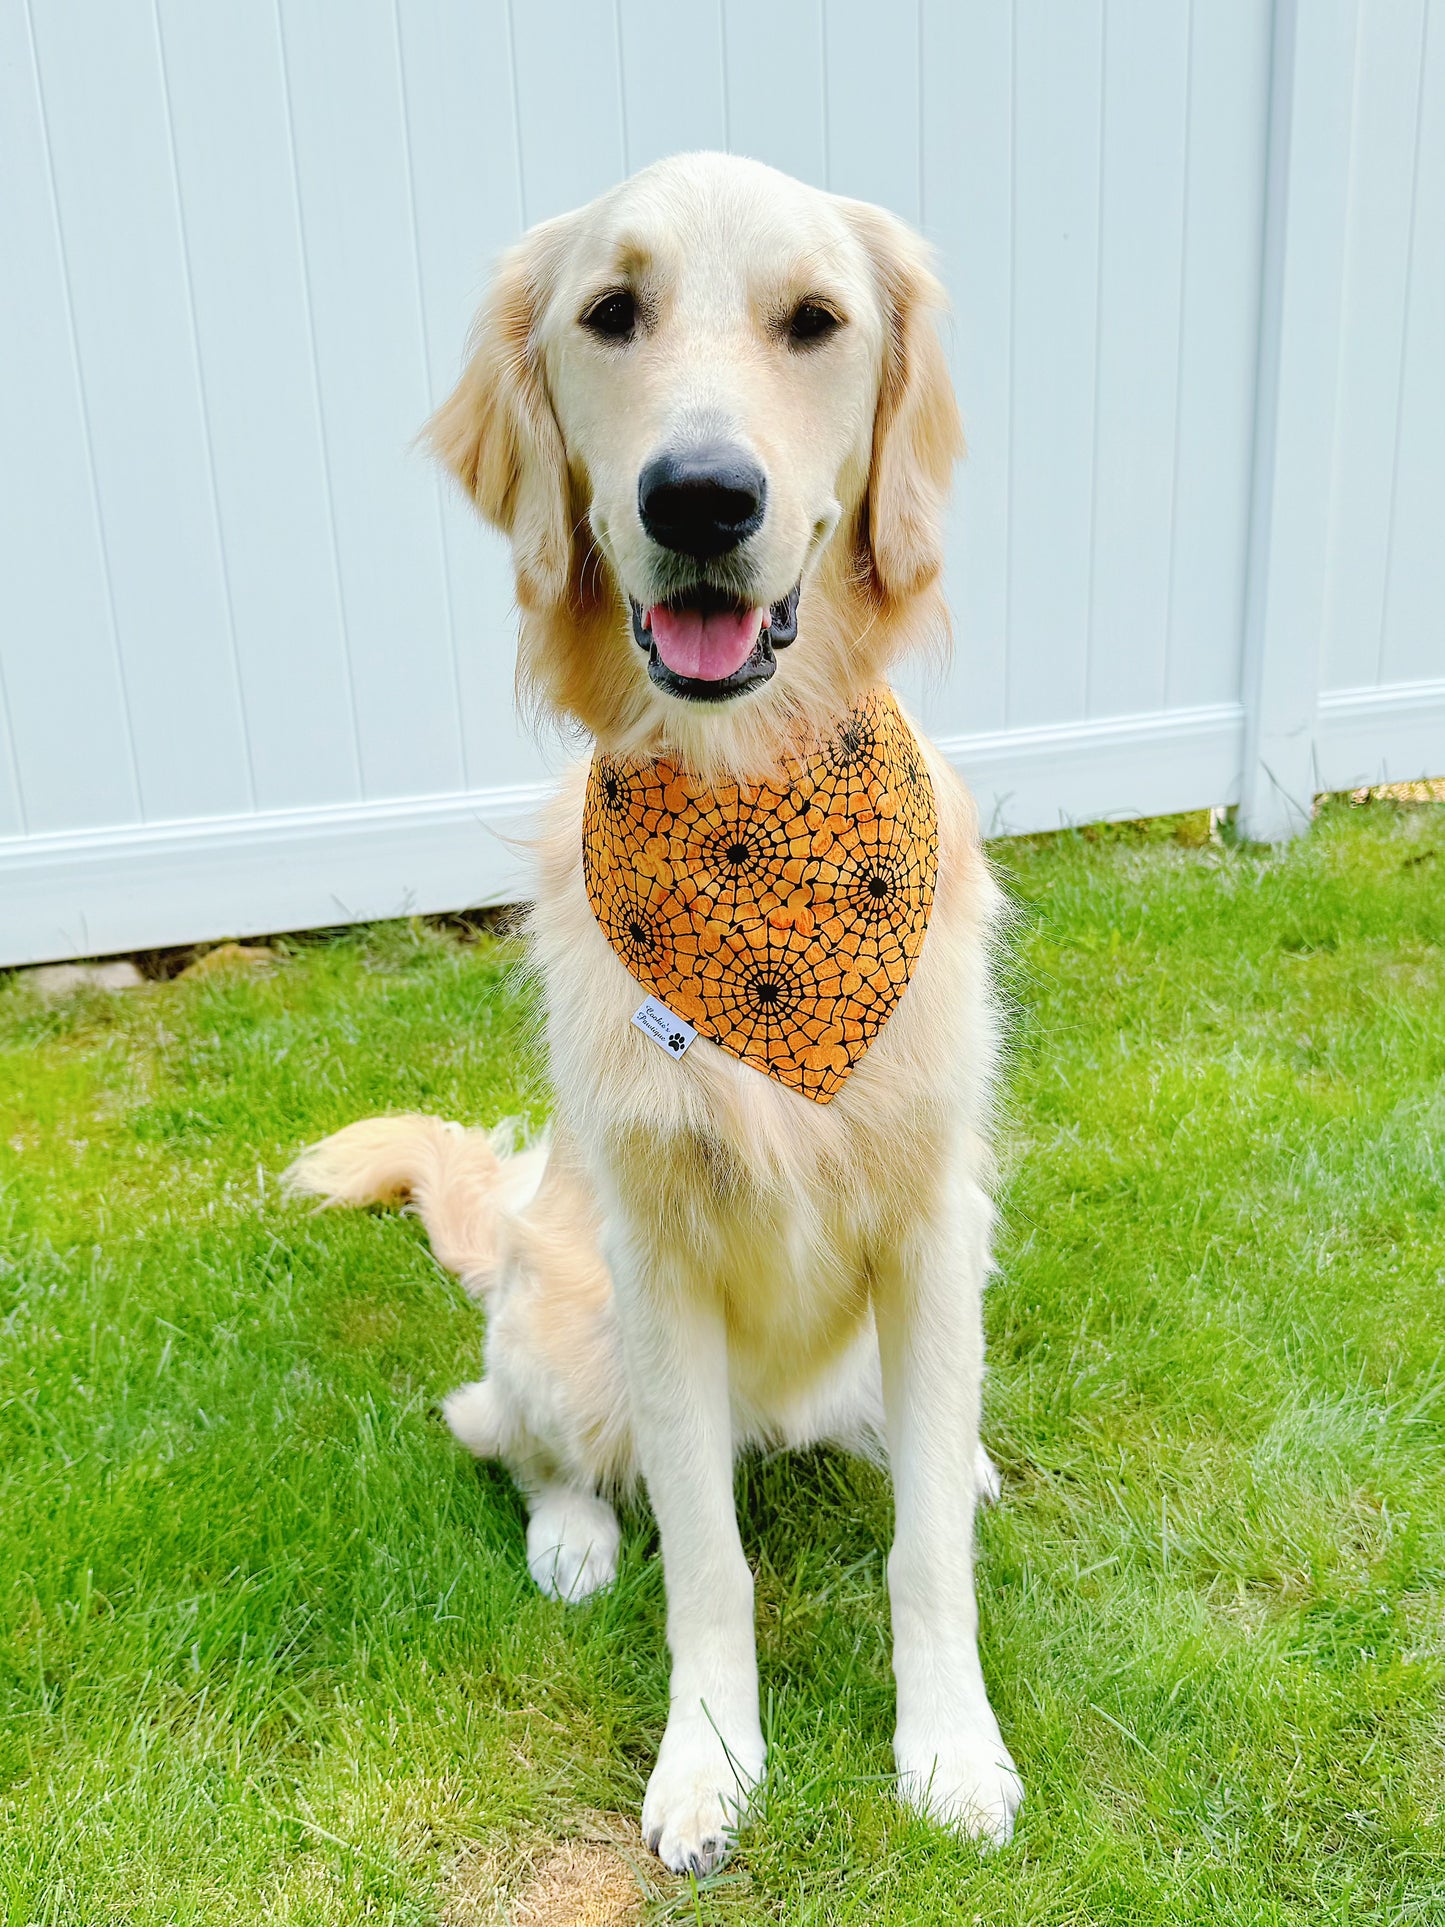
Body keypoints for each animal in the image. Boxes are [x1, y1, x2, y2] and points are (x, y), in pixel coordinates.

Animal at [289, 154, 1024, 1880]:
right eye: (610, 313)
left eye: (814, 320)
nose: (700, 498)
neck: (750, 814)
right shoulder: (661, 1260)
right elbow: (706, 1557)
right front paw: (708, 1760)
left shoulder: (933, 1217)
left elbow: (922, 1555)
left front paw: (949, 1747)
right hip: (562, 1321)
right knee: (508, 1432)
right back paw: (568, 1534)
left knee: (895, 1435)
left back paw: (945, 1451)